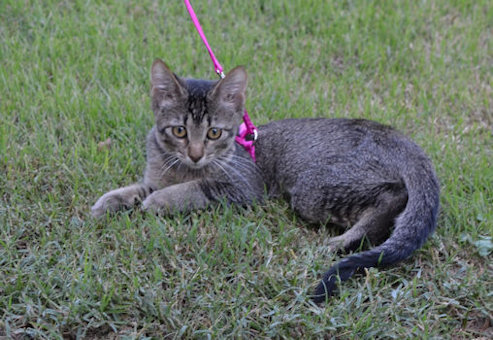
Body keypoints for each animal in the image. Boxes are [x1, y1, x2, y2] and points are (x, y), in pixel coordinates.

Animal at [91, 59, 438, 302]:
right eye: (179, 131)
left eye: (213, 133)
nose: (195, 154)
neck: (181, 166)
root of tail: (399, 138)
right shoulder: (157, 176)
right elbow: (138, 188)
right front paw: (109, 201)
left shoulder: (242, 188)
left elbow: (191, 189)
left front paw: (161, 201)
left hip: (313, 189)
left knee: (393, 196)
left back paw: (341, 242)